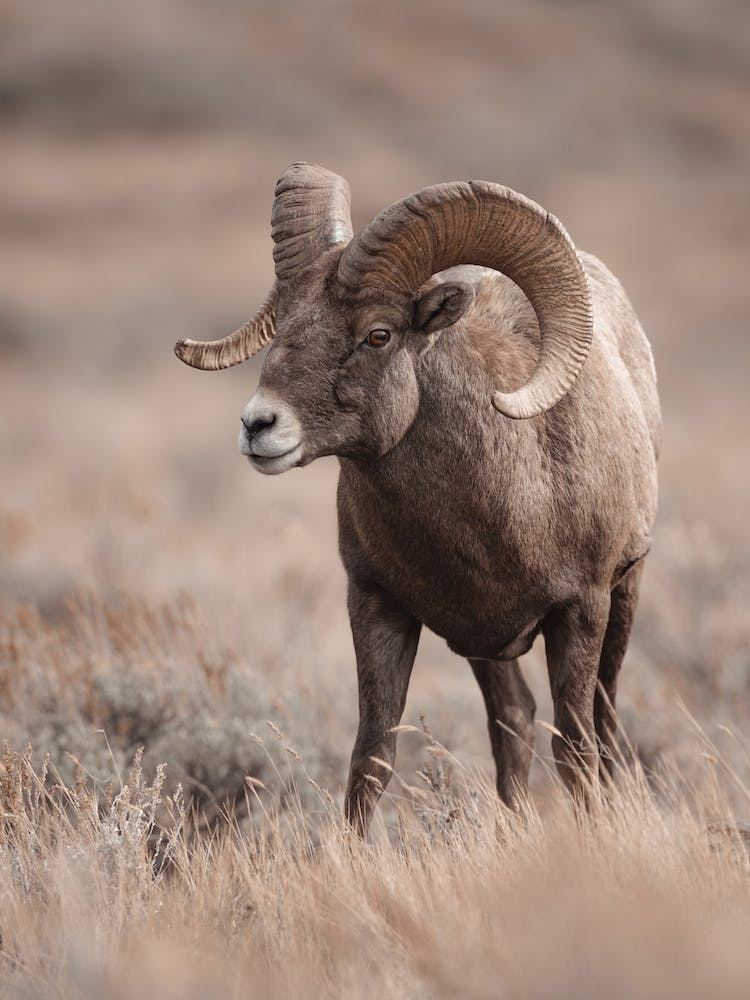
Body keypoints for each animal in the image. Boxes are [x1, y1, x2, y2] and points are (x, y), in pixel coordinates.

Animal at [175, 162, 660, 835]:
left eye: (378, 334)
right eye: (283, 323)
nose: (258, 426)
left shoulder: (582, 607)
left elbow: (576, 746)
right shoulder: (378, 608)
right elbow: (372, 758)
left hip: (623, 595)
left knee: (603, 721)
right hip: (487, 647)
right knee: (513, 718)